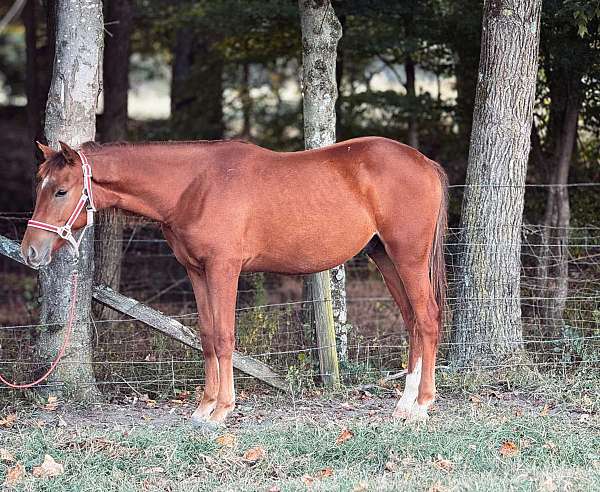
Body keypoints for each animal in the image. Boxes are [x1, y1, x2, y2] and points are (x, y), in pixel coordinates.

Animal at [22, 136, 446, 424]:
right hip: (385, 257)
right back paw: (404, 403)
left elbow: (225, 337)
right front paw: (203, 407)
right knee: (411, 321)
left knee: (427, 319)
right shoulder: (197, 272)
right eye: (38, 185)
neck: (194, 186)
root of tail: (424, 162)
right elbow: (208, 336)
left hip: (408, 257)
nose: (30, 252)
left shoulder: (223, 270)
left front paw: (222, 410)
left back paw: (422, 405)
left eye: (61, 191)